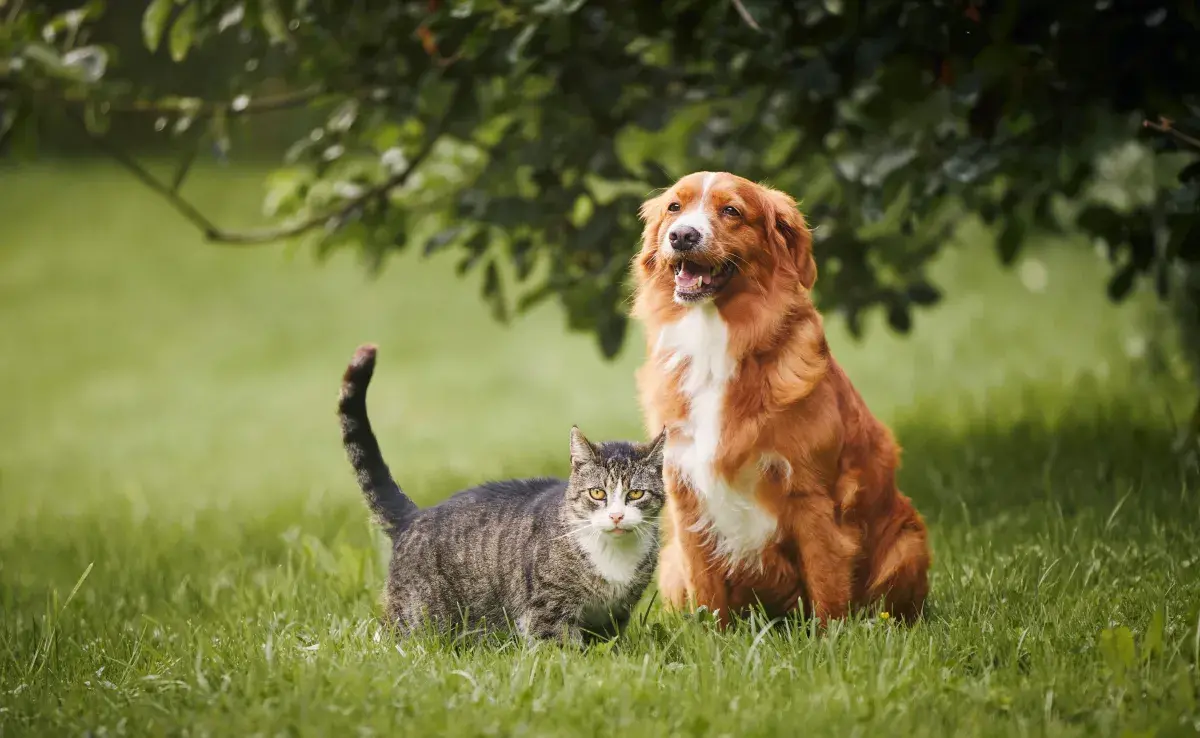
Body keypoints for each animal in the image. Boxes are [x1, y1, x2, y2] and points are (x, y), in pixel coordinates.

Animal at [338, 343, 667, 643]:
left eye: (635, 494)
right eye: (598, 493)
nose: (616, 516)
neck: (614, 558)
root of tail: (415, 516)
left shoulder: (615, 614)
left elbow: (607, 645)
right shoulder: (547, 610)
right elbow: (561, 649)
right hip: (417, 617)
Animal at [633, 172, 931, 628]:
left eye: (731, 211)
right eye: (674, 208)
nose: (682, 235)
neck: (714, 341)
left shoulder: (812, 496)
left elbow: (827, 588)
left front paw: (832, 641)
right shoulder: (686, 496)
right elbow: (707, 595)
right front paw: (711, 639)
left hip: (908, 542)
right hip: (669, 563)